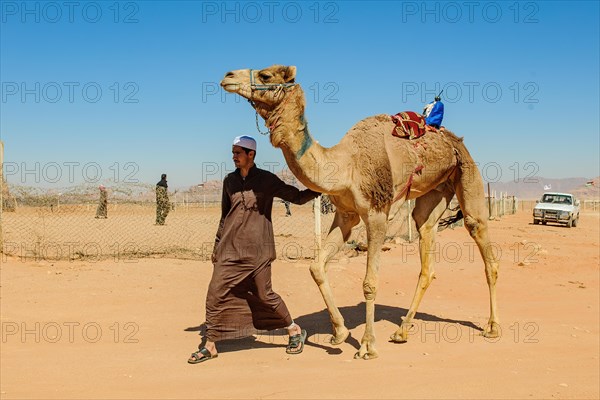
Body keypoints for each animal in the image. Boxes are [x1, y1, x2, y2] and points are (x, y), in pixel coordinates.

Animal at [218, 65, 500, 360]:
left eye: (265, 75)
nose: (228, 76)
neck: (345, 166)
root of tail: (453, 139)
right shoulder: (345, 215)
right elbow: (316, 267)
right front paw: (340, 332)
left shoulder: (377, 215)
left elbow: (369, 282)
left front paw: (367, 345)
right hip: (435, 190)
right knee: (425, 241)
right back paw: (402, 331)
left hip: (466, 170)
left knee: (480, 236)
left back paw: (492, 327)